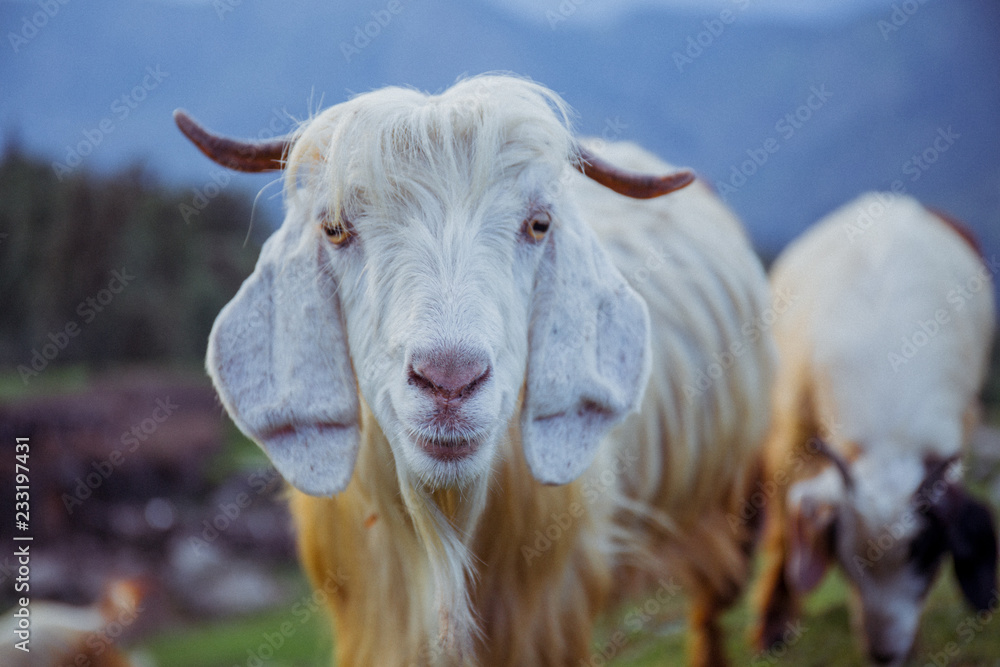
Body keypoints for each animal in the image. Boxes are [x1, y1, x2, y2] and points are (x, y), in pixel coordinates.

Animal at [753, 192, 999, 665]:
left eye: (926, 558)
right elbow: (781, 527)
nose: (885, 654)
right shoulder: (791, 427)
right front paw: (771, 630)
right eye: (845, 562)